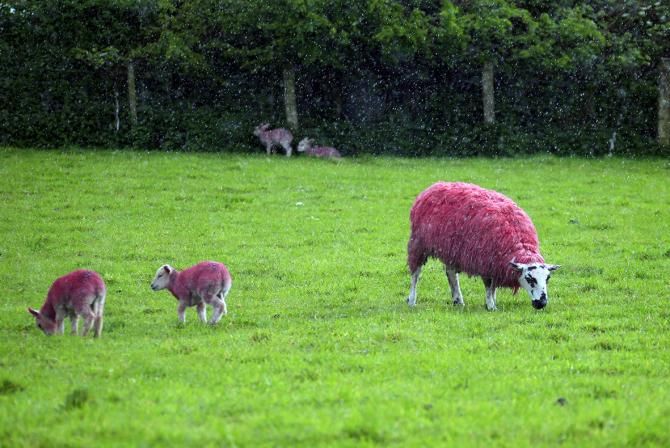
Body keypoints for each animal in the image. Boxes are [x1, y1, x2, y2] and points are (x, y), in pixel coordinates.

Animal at [406, 182, 559, 311]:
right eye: (530, 279)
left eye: (548, 278)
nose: (541, 303)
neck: (517, 243)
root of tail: (435, 186)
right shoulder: (485, 261)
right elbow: (488, 286)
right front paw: (491, 306)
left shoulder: (495, 264)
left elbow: (493, 286)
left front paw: (492, 301)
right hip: (418, 243)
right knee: (416, 274)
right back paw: (412, 300)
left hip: (452, 249)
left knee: (451, 273)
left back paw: (458, 300)